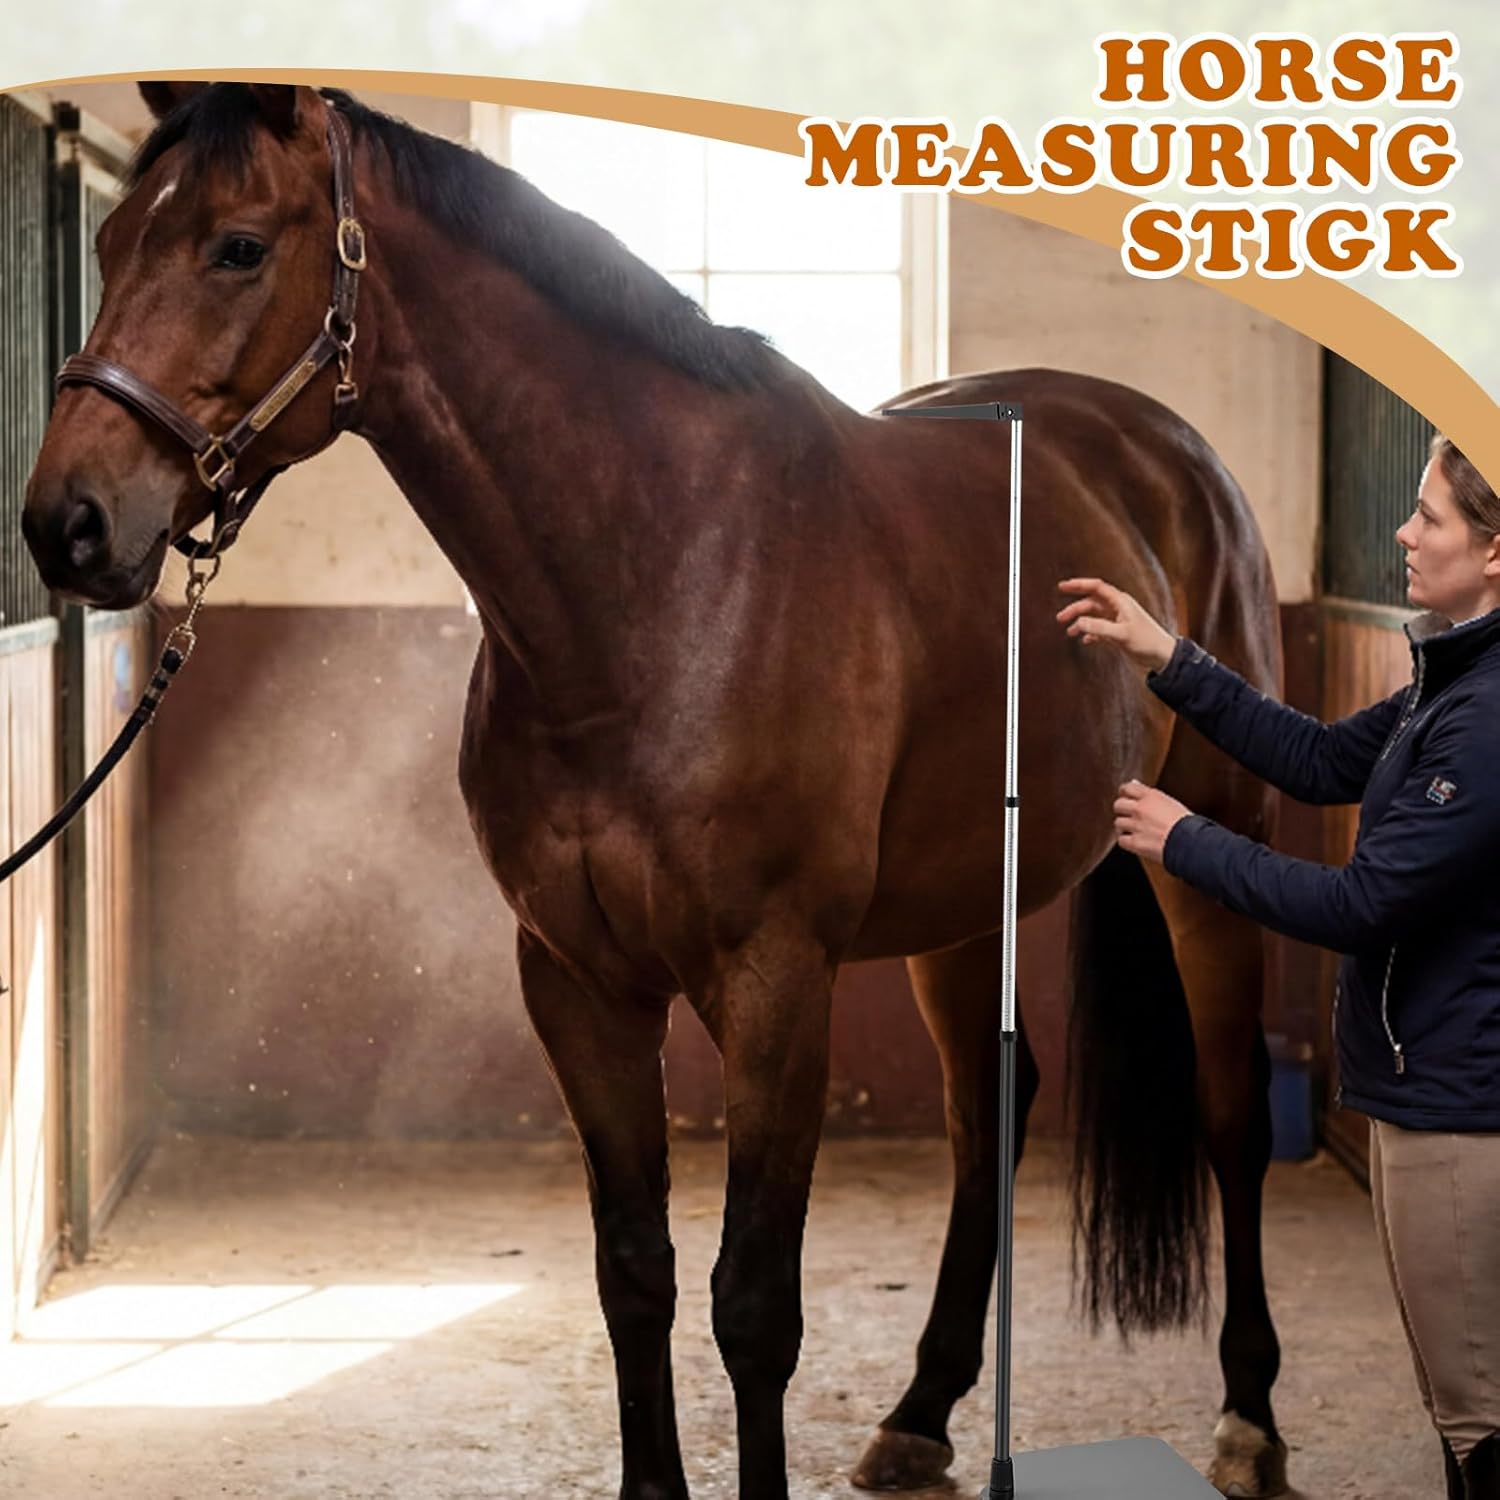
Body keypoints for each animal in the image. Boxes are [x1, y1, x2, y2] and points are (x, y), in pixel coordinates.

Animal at [23, 83, 1289, 1500]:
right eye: (111, 238)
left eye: (237, 247)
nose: (67, 522)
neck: (662, 573)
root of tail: (1163, 453)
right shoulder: (576, 979)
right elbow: (635, 1270)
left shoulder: (774, 981)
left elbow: (755, 1304)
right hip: (965, 906)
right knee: (988, 1119)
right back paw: (921, 1411)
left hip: (1213, 857)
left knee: (1233, 1111)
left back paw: (1249, 1418)